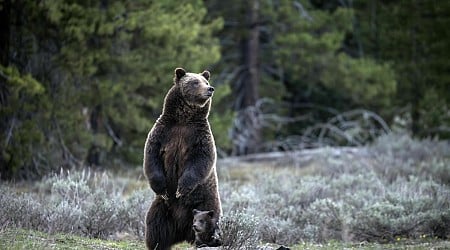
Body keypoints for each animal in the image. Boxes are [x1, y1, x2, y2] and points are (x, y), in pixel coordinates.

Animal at [143, 67, 222, 249]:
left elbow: (201, 160)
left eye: (205, 81)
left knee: (209, 222)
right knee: (155, 226)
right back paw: (157, 245)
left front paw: (181, 188)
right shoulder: (163, 132)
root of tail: (182, 231)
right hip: (162, 209)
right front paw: (163, 189)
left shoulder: (199, 136)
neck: (184, 119)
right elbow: (151, 157)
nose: (210, 89)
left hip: (206, 203)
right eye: (195, 82)